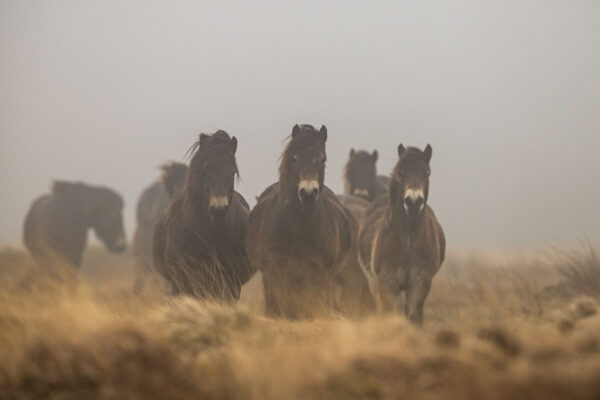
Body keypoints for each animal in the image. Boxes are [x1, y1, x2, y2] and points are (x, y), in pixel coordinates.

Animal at [246, 125, 372, 318]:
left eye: (322, 159)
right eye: (295, 158)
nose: (308, 194)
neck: (299, 227)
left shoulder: (318, 276)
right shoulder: (277, 274)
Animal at [356, 144, 446, 324]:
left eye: (426, 173)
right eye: (402, 172)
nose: (413, 202)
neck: (408, 239)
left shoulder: (420, 284)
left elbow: (413, 317)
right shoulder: (387, 284)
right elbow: (390, 315)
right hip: (373, 284)